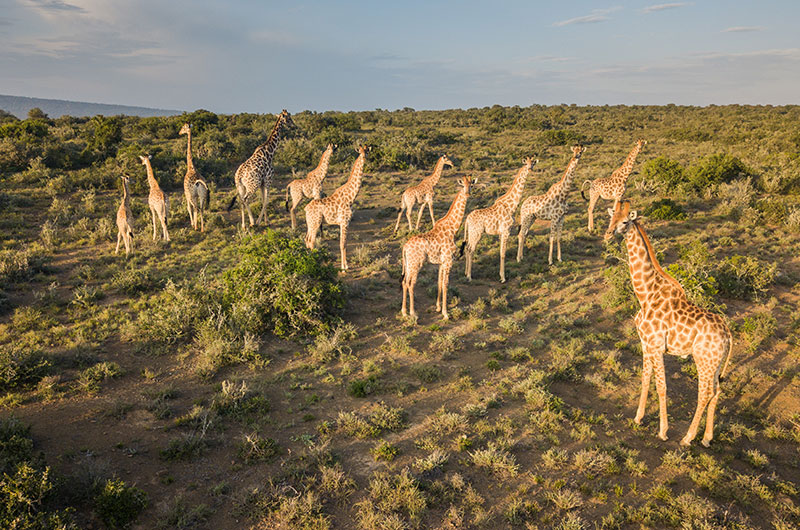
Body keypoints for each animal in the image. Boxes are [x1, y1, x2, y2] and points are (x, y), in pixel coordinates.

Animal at [400, 175, 476, 320]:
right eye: (463, 185)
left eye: (471, 185)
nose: (468, 193)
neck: (452, 228)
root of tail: (405, 248)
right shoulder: (448, 261)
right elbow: (446, 284)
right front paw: (446, 313)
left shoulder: (441, 262)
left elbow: (439, 282)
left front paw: (438, 307)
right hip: (415, 264)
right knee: (411, 284)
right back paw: (413, 313)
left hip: (408, 264)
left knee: (404, 282)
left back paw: (404, 311)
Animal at [604, 199, 736, 446]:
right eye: (610, 217)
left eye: (625, 221)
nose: (607, 234)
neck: (645, 294)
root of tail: (728, 334)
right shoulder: (645, 344)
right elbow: (645, 379)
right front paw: (638, 418)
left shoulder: (656, 346)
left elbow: (662, 387)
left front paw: (663, 431)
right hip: (714, 363)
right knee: (716, 391)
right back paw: (706, 438)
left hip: (703, 360)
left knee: (704, 393)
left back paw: (687, 438)